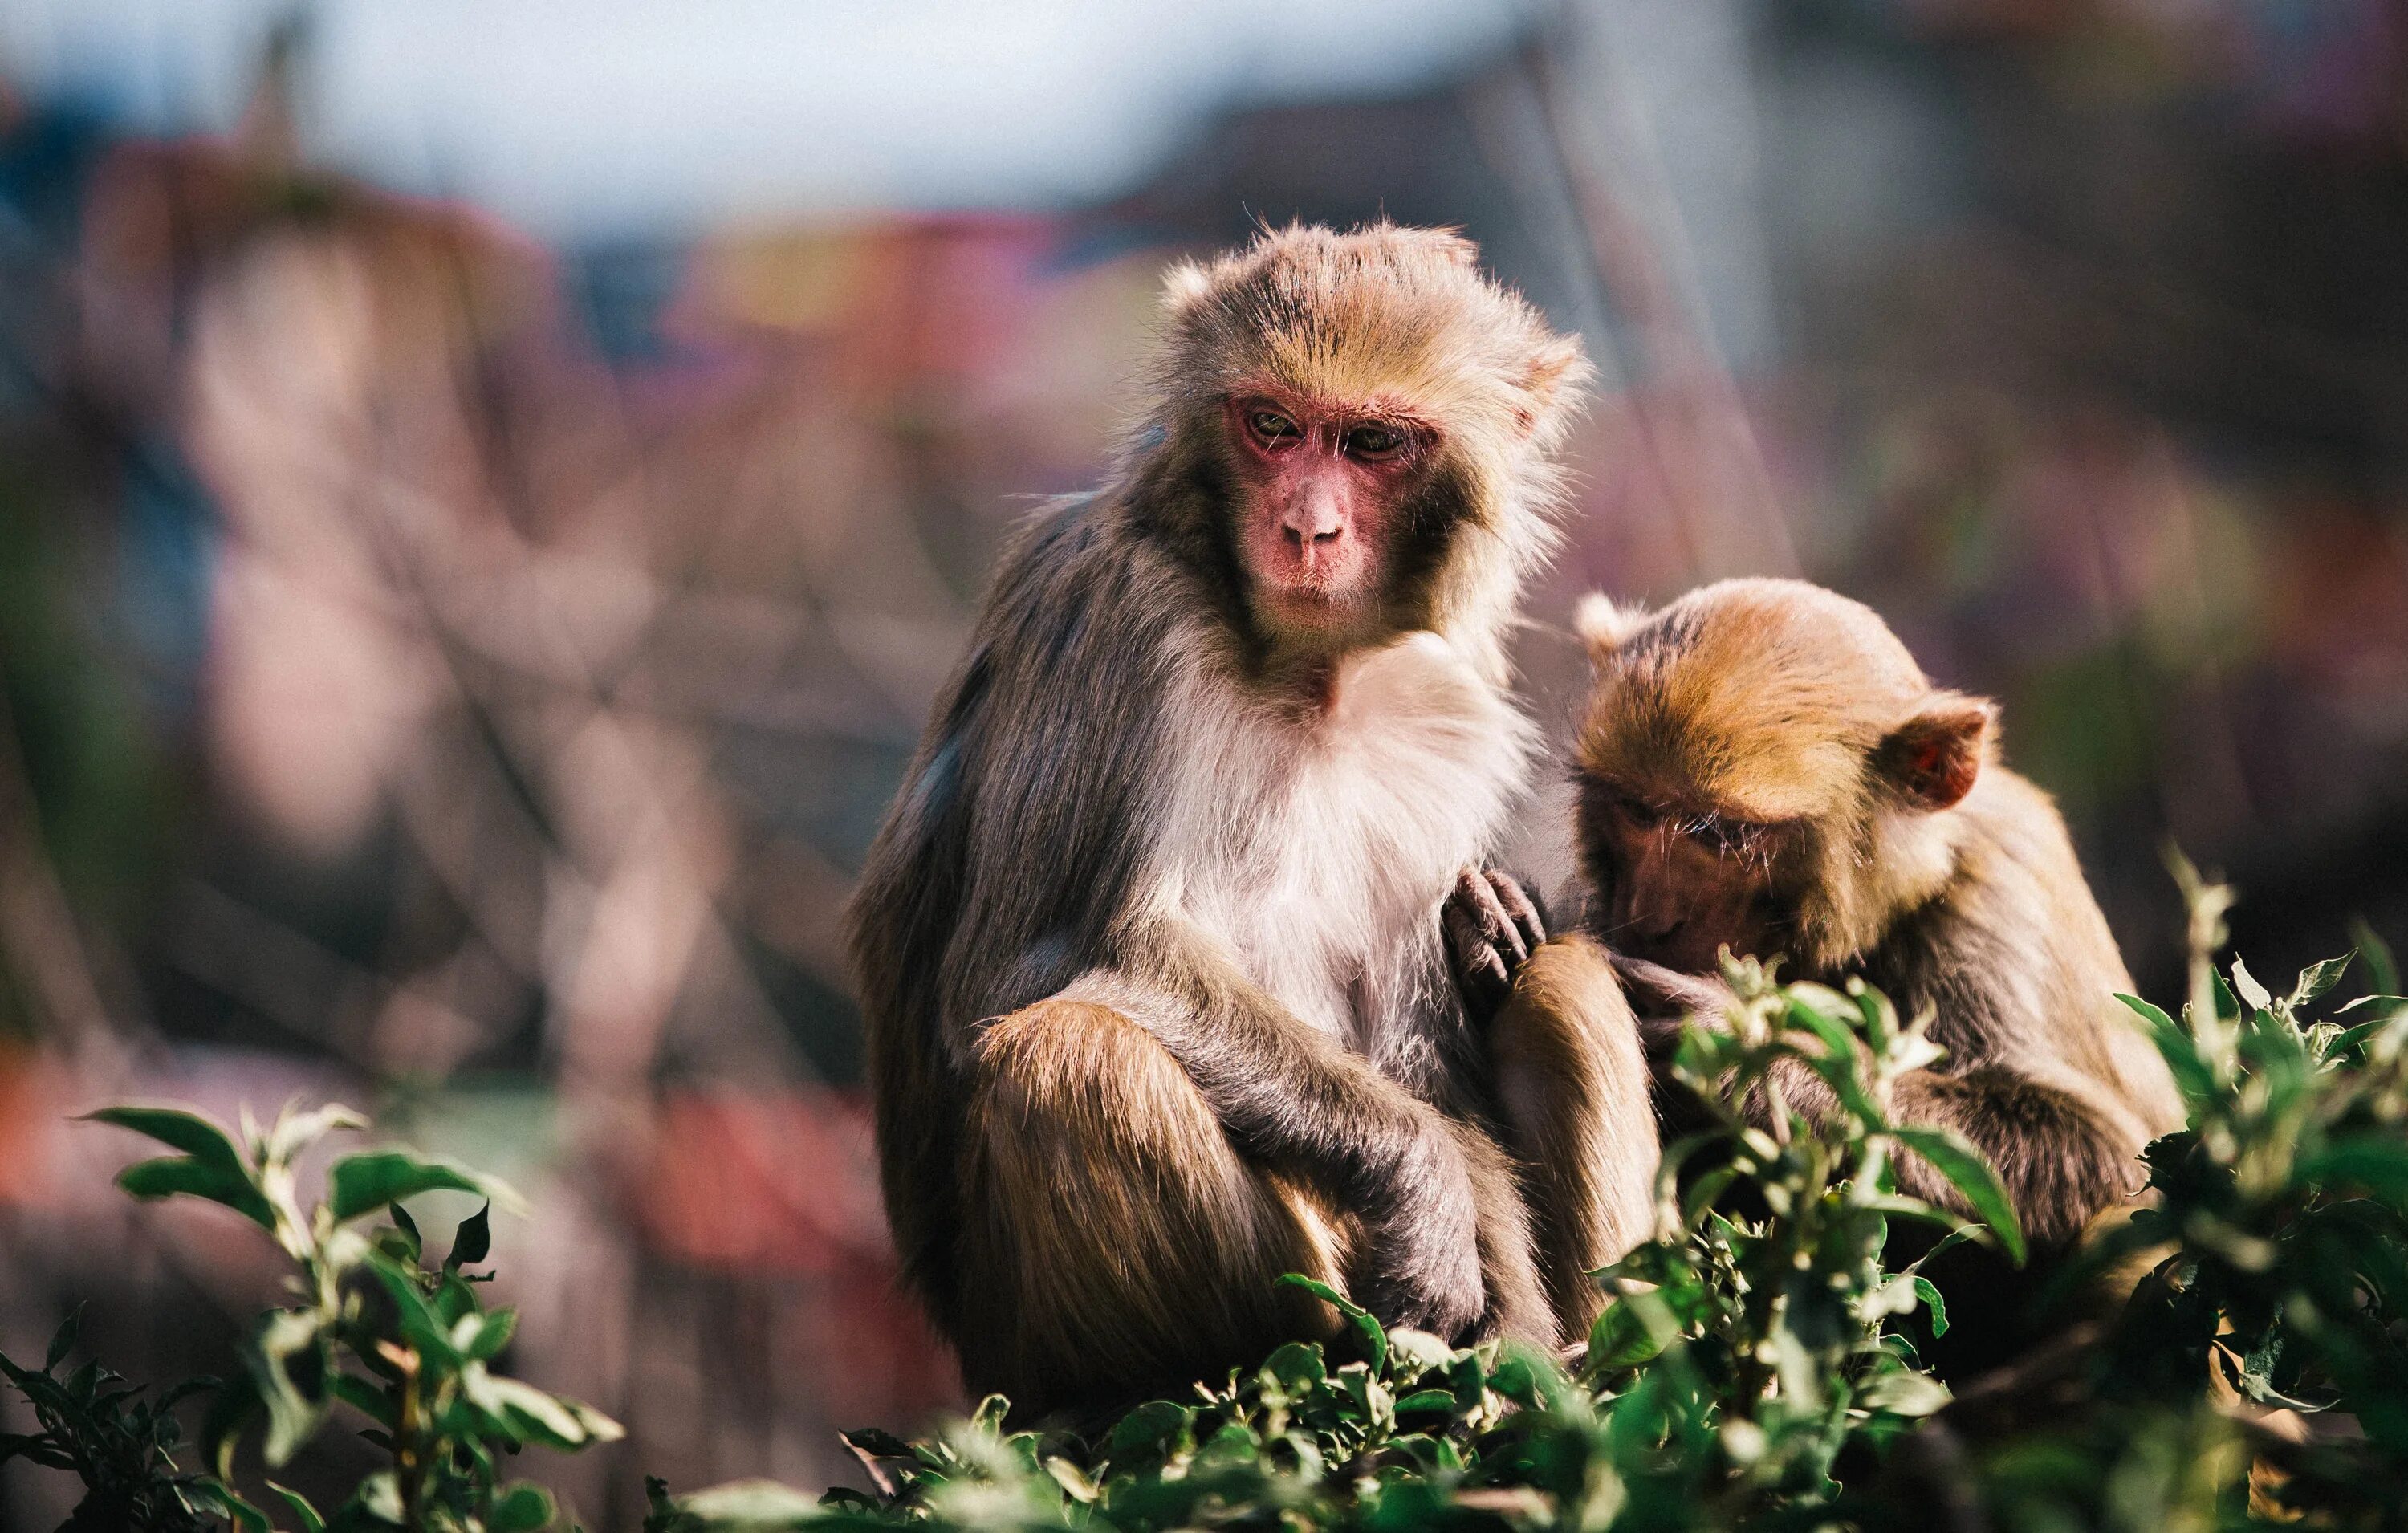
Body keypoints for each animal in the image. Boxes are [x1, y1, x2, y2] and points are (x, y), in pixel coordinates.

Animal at [848, 221, 1657, 1415]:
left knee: (1564, 976)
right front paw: (1418, 1175)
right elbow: (1028, 964)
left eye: (1372, 441)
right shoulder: (1118, 614)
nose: (1306, 527)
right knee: (1078, 1056)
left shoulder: (1444, 706)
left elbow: (1427, 1050)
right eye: (1272, 426)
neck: (1306, 674)